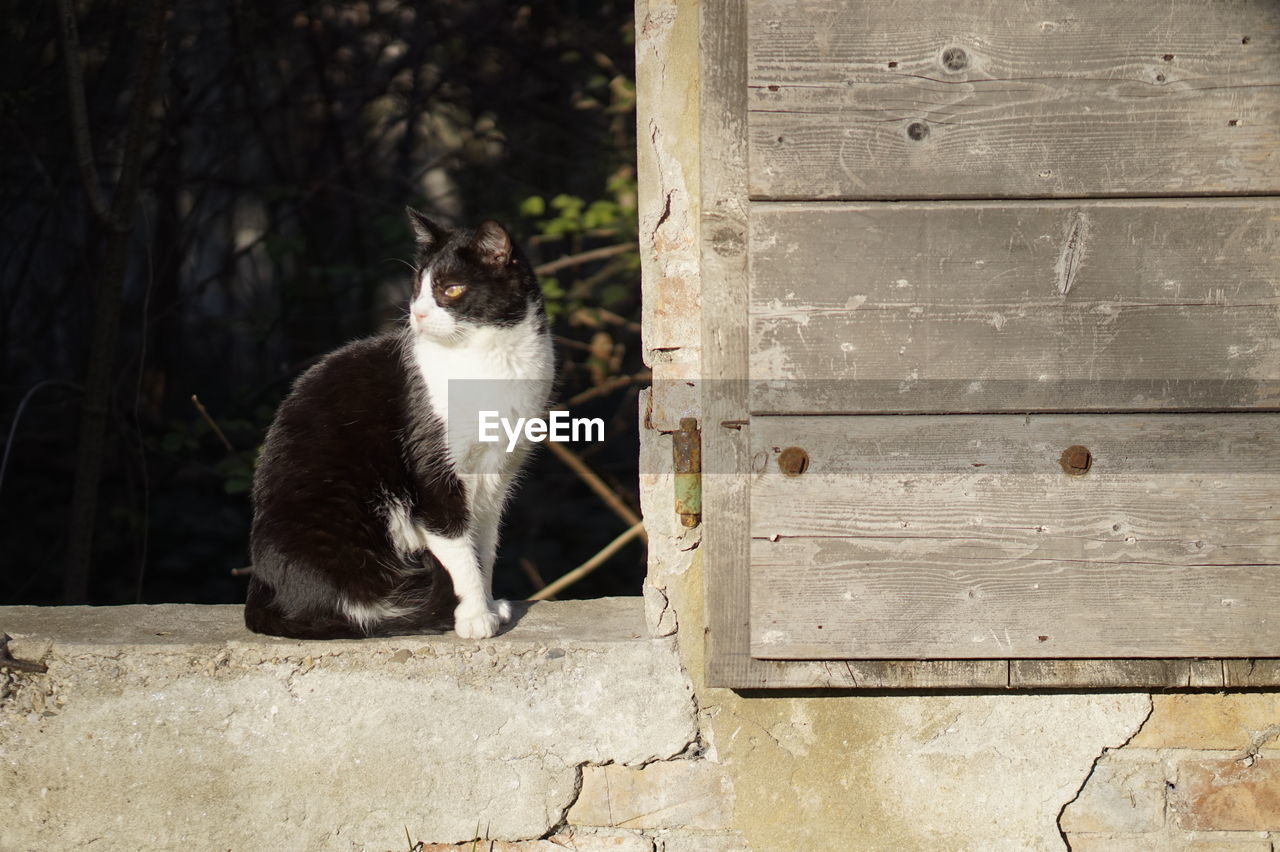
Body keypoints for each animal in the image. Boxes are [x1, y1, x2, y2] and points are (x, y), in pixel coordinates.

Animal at [244, 211, 555, 637]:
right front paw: (475, 616)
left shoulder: (498, 475)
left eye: (451, 289)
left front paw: (490, 605)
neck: (488, 360)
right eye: (417, 287)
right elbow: (459, 549)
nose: (417, 313)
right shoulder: (433, 470)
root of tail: (262, 588)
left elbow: (485, 545)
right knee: (352, 605)